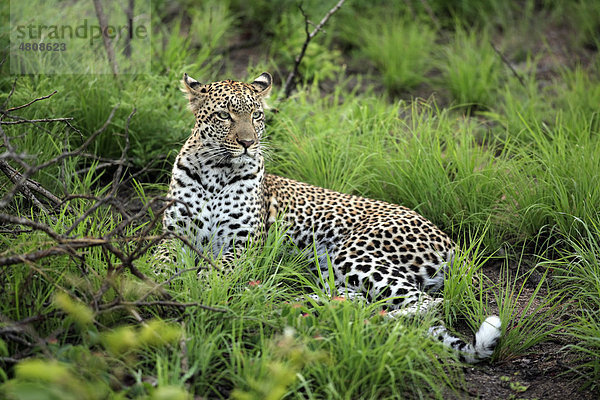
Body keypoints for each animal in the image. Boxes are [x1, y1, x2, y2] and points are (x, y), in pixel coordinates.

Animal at [159, 71, 502, 362]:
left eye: (256, 115)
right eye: (223, 115)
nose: (248, 143)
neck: (215, 171)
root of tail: (452, 243)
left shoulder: (242, 244)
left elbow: (216, 271)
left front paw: (197, 288)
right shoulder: (173, 233)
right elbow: (161, 261)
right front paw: (162, 285)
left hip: (355, 253)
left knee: (428, 303)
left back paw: (363, 320)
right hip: (336, 271)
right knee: (363, 299)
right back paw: (300, 302)